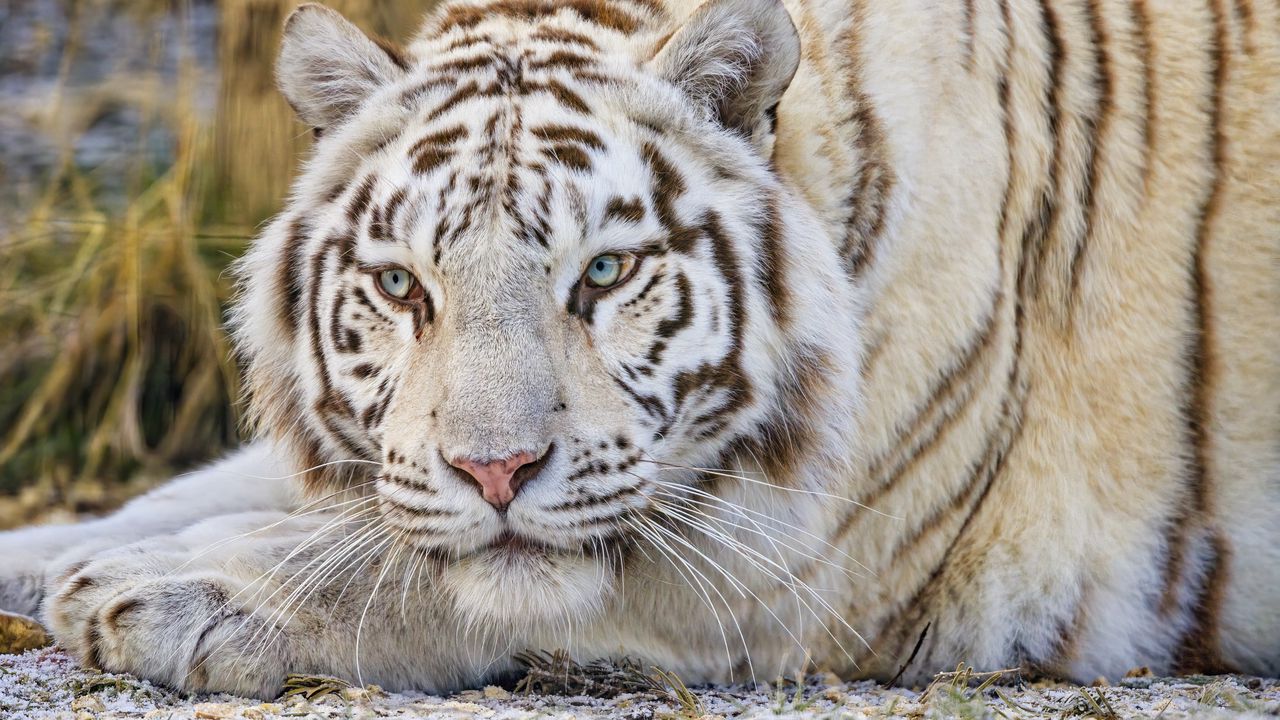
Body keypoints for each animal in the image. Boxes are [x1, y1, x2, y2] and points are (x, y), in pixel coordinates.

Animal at [0, 0, 1276, 698]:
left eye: (604, 275)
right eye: (403, 286)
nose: (496, 472)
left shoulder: (821, 566)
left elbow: (425, 572)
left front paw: (168, 592)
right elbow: (210, 491)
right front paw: (68, 554)